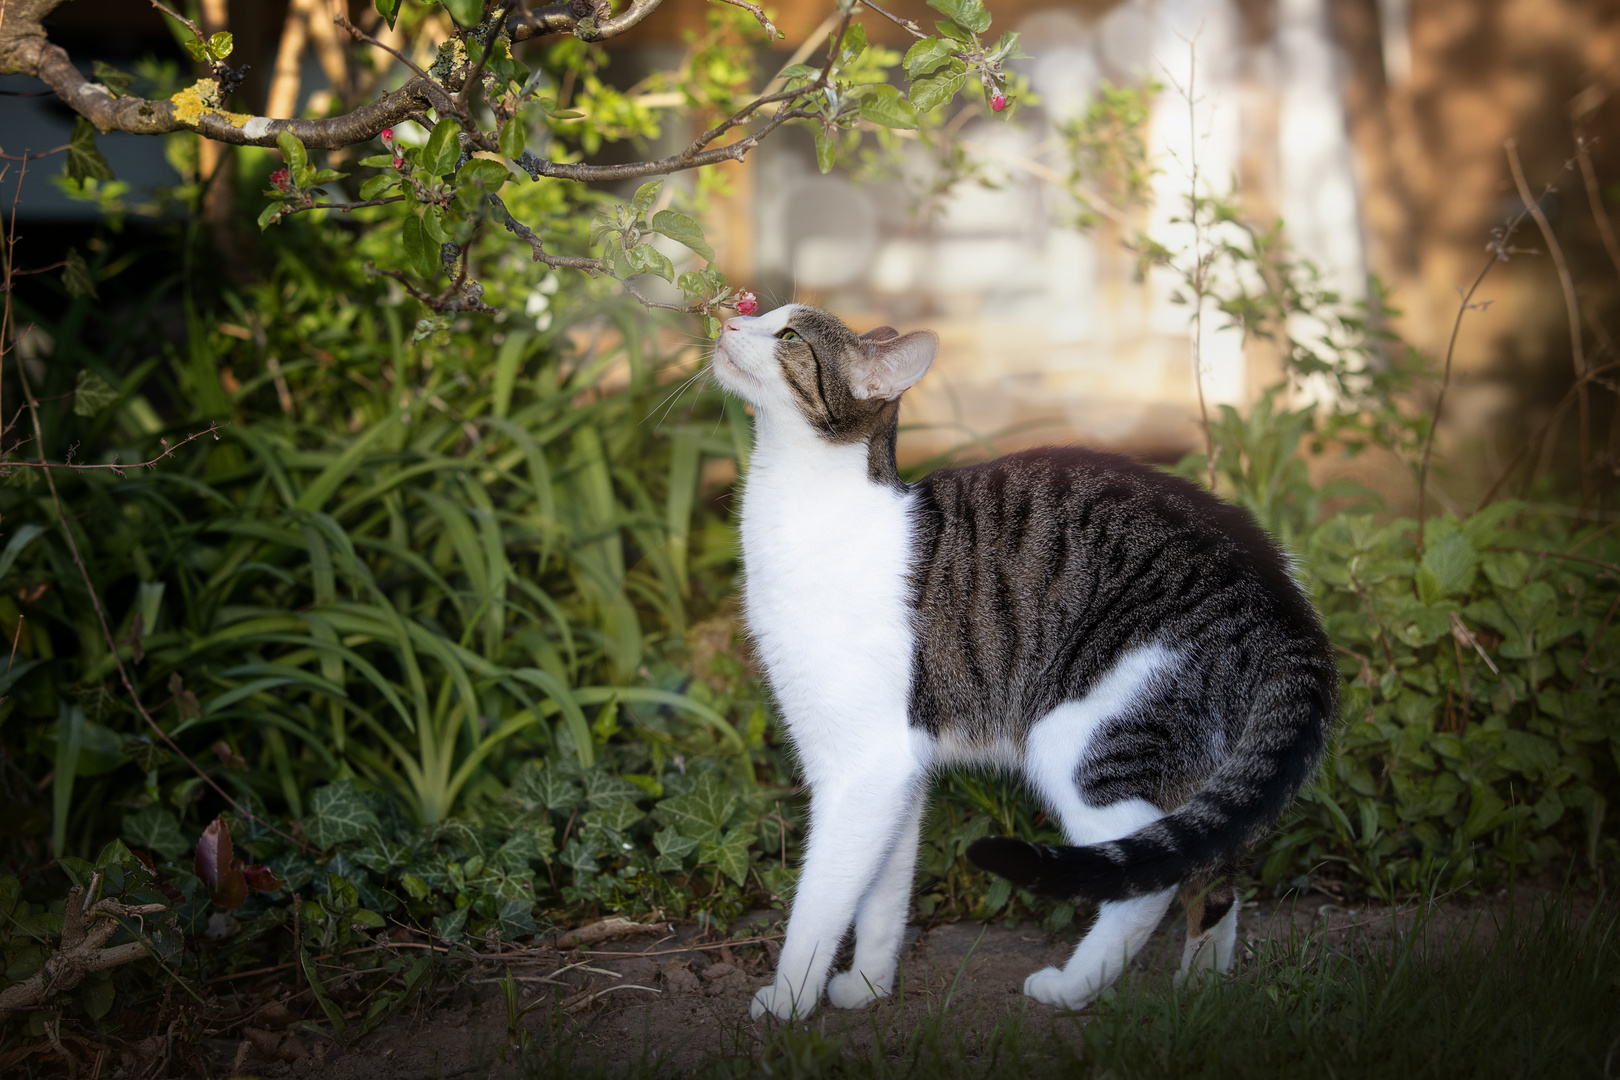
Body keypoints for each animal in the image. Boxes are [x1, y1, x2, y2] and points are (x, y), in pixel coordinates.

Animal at [716, 304, 1334, 1023]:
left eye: (788, 336)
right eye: (761, 312)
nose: (728, 318)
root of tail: (1286, 609)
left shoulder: (865, 765)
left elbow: (821, 899)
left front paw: (789, 1000)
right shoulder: (900, 771)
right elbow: (880, 895)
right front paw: (868, 985)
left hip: (1078, 738)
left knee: (1144, 884)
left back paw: (1069, 988)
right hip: (1198, 769)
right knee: (1205, 868)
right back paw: (1200, 998)